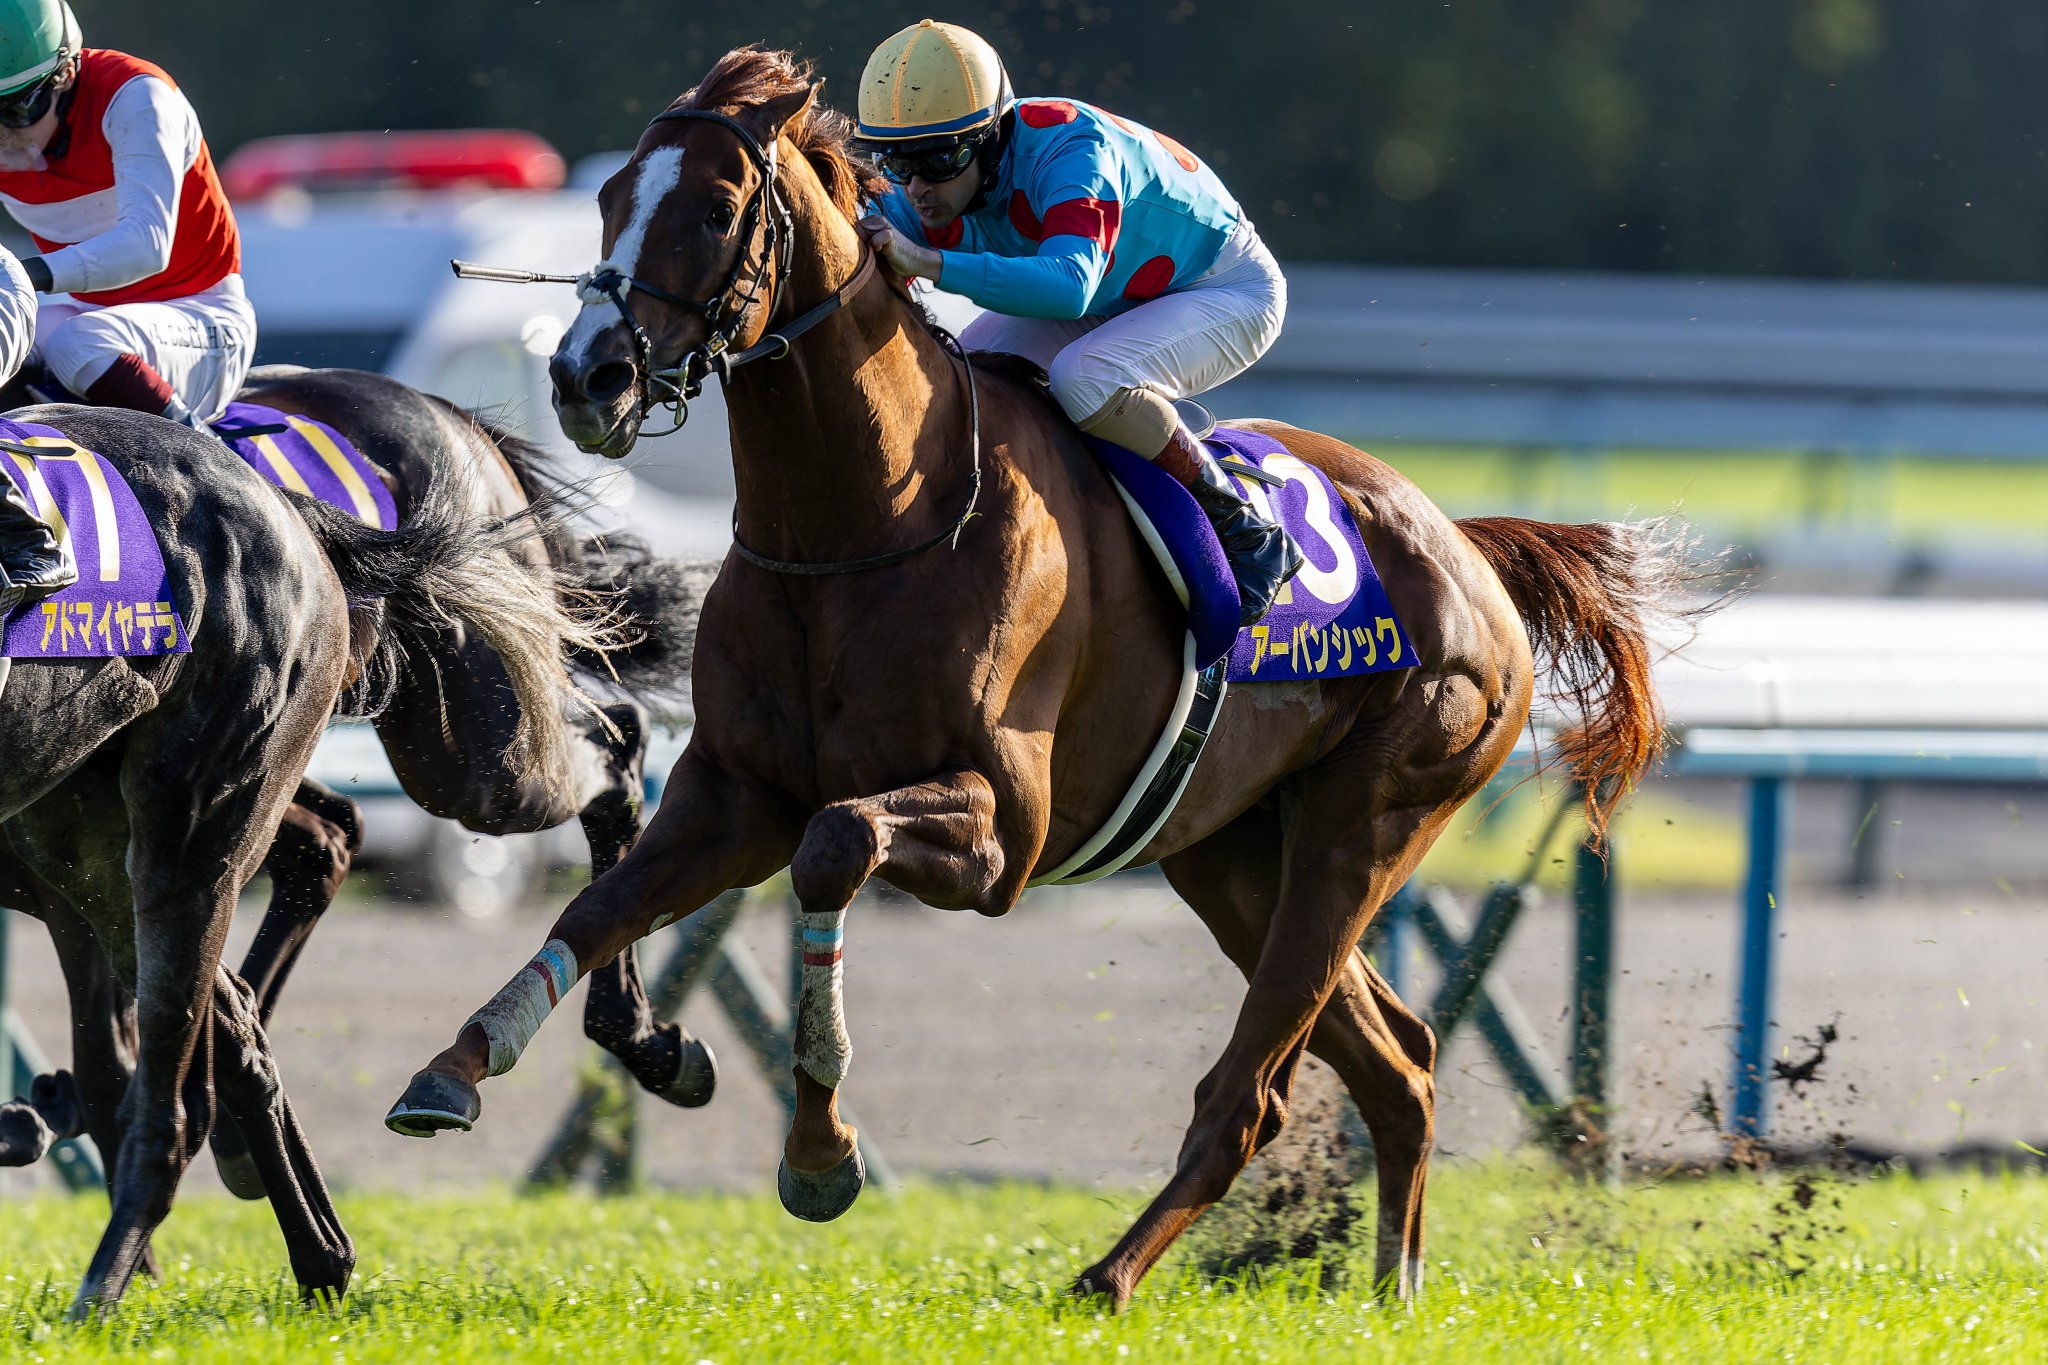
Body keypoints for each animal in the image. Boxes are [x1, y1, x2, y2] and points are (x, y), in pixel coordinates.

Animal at [391, 50, 1687, 1309]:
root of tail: (1462, 543)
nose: (586, 376)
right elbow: (596, 906)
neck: (859, 524)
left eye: (713, 208)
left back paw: (1113, 1273)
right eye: (611, 200)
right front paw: (463, 1067)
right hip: (1228, 855)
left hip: (1364, 822)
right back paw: (1388, 1291)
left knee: (1251, 1092)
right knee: (1399, 1059)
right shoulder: (732, 795)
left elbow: (832, 847)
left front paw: (819, 1153)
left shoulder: (999, 831)